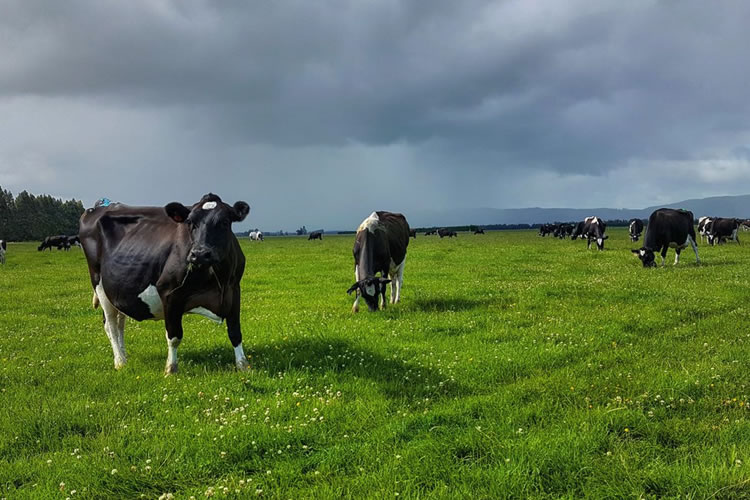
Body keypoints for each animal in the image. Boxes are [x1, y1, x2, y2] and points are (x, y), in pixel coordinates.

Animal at [79, 193, 251, 374]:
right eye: (190, 222)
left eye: (224, 222)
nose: (199, 254)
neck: (217, 279)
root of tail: (99, 206)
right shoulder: (169, 293)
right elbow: (174, 336)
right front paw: (171, 368)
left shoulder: (234, 289)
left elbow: (235, 331)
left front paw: (243, 365)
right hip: (99, 285)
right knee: (110, 325)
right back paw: (120, 361)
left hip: (117, 290)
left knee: (120, 324)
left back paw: (124, 355)